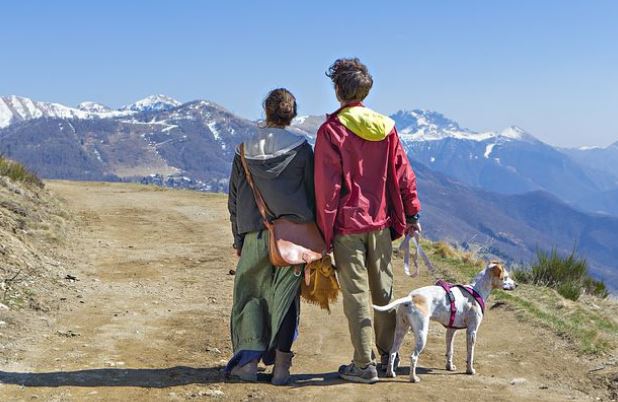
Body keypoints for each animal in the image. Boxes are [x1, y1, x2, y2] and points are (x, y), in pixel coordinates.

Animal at [372, 262, 512, 382]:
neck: (476, 290)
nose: (515, 284)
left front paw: (449, 367)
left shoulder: (451, 330)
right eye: (505, 277)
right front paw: (470, 370)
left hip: (400, 331)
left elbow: (450, 351)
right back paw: (413, 378)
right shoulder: (472, 331)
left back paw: (390, 373)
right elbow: (470, 354)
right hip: (422, 334)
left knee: (392, 352)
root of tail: (410, 298)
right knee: (413, 356)